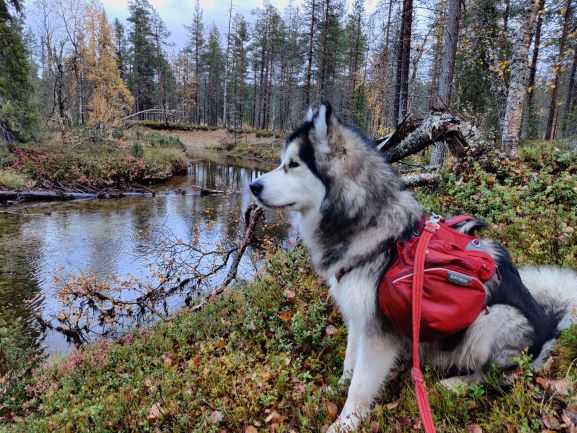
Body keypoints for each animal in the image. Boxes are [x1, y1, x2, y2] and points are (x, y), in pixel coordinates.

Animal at [248, 103, 576, 430]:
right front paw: (338, 386)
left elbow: (361, 385)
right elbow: (350, 359)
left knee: (502, 376)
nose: (253, 186)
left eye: (292, 164)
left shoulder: (379, 333)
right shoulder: (358, 315)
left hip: (490, 321)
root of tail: (551, 328)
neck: (366, 222)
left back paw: (457, 383)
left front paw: (346, 422)